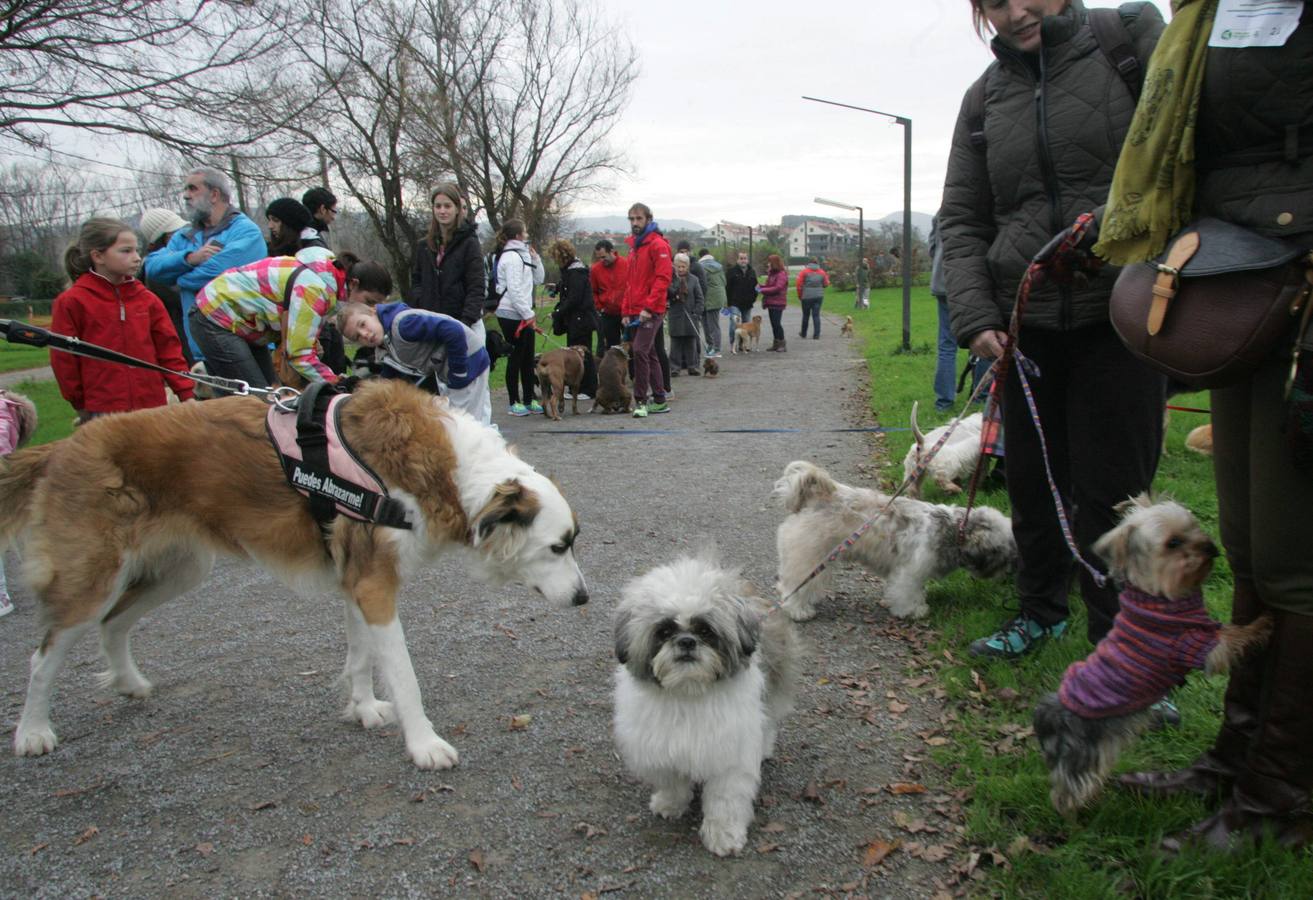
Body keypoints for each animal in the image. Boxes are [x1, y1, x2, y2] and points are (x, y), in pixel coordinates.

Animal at [0, 378, 585, 767]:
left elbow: (360, 657)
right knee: (43, 656)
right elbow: (404, 675)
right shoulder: (375, 586)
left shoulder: (357, 582)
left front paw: (362, 708)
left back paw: (127, 682)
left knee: (113, 624)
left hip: (179, 569)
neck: (446, 472)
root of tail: (63, 446)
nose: (584, 599)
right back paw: (32, 731)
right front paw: (424, 744)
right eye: (558, 547)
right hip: (94, 579)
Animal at [772, 459, 1018, 620]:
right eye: (1003, 554)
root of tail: (821, 495)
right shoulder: (911, 572)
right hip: (809, 558)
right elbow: (908, 592)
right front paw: (914, 610)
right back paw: (798, 610)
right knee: (793, 585)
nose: (1009, 574)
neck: (954, 531)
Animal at [1034, 494, 1270, 819]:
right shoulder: (1196, 645)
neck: (1159, 596)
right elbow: (1233, 637)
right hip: (1085, 752)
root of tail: (1052, 713)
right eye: (1173, 543)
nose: (1211, 547)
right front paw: (1265, 621)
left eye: (1194, 526)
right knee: (1067, 790)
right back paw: (1075, 815)